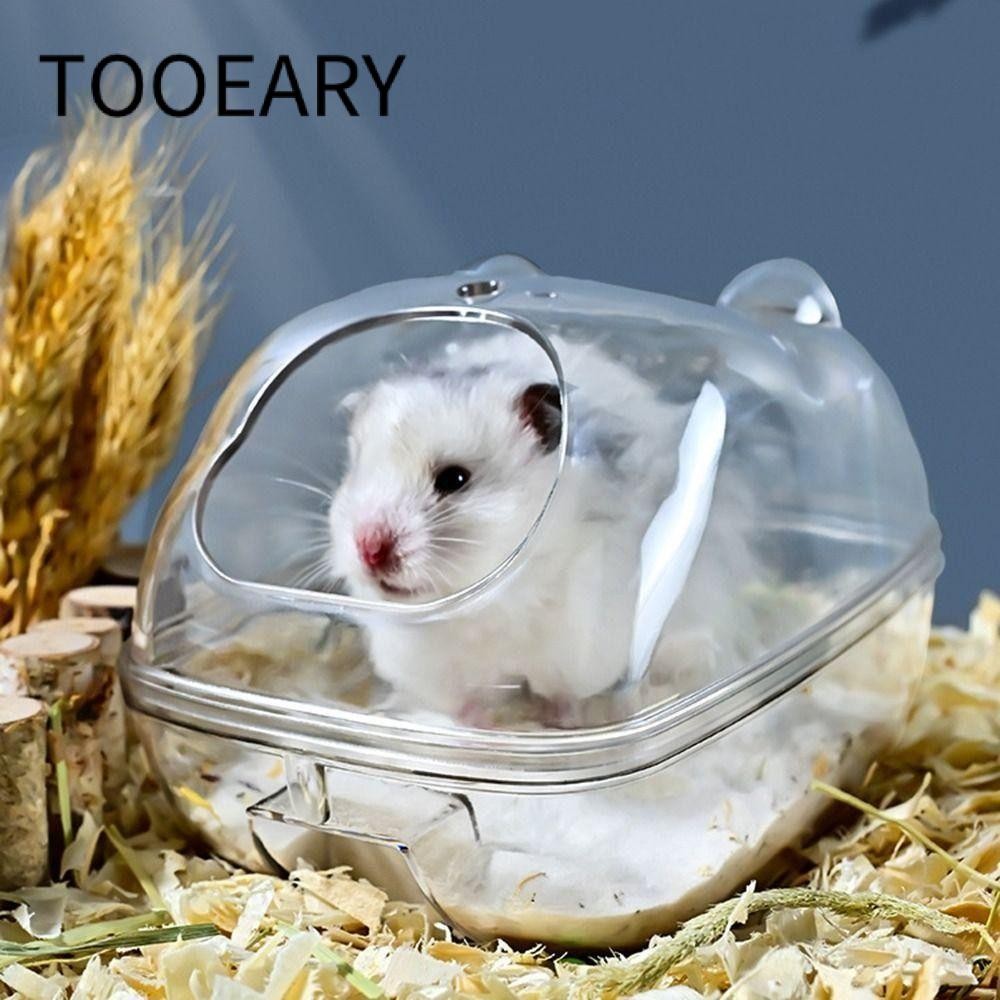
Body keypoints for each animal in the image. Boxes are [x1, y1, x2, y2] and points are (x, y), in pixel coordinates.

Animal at [328, 333, 749, 720]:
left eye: (454, 479)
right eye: (356, 471)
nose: (368, 550)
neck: (488, 605)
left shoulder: (579, 646)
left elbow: (564, 695)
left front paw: (562, 725)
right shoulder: (439, 670)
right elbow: (466, 707)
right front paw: (480, 735)